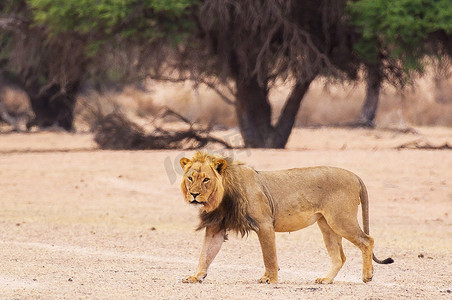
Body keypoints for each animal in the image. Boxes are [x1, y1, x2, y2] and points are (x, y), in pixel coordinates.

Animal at [179, 151, 392, 284]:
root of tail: (355, 175)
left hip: (340, 220)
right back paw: (326, 279)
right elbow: (205, 254)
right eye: (190, 178)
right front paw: (196, 277)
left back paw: (367, 276)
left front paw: (269, 278)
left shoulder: (265, 224)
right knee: (339, 256)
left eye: (206, 179)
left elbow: (269, 256)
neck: (222, 197)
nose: (194, 195)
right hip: (327, 225)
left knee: (367, 240)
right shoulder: (215, 228)